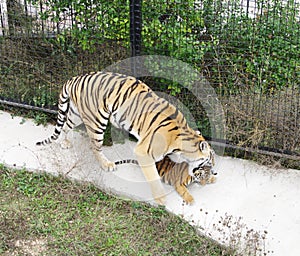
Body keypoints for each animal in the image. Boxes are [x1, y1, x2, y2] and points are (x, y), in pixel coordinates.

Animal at [35, 71, 213, 204]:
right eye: (210, 161)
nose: (213, 172)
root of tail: (75, 78)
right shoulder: (143, 151)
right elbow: (153, 175)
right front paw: (160, 197)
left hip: (76, 114)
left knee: (65, 125)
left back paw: (65, 143)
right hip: (96, 121)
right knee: (94, 146)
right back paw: (106, 164)